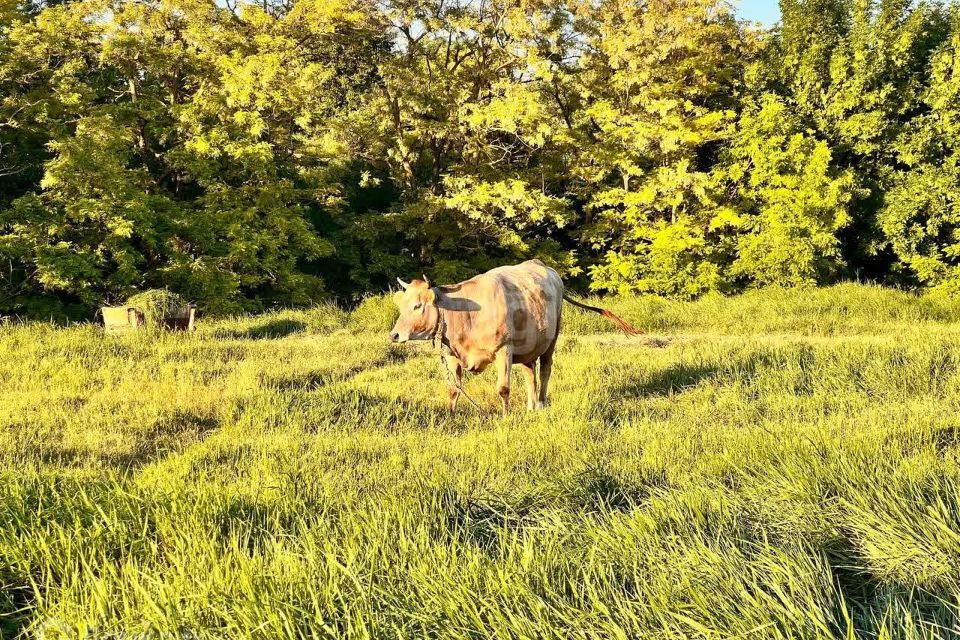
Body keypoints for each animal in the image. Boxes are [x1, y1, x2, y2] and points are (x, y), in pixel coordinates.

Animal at [386, 260, 640, 416]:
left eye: (417, 306)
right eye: (401, 304)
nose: (394, 334)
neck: (466, 315)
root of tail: (544, 267)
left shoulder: (504, 350)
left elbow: (503, 388)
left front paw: (505, 416)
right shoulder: (451, 355)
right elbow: (453, 389)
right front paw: (451, 416)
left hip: (552, 340)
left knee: (545, 371)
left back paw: (541, 402)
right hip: (529, 346)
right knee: (530, 375)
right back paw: (530, 406)